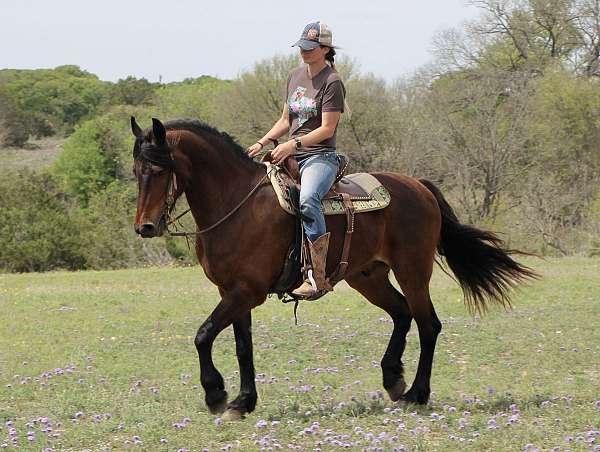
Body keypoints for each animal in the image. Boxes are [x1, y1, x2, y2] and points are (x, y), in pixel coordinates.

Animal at [130, 117, 536, 420]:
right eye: (137, 171)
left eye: (159, 169)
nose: (145, 227)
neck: (237, 204)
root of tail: (418, 186)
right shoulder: (233, 292)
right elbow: (241, 346)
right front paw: (242, 402)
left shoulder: (247, 291)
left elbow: (203, 335)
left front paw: (215, 395)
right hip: (368, 276)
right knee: (402, 314)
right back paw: (393, 379)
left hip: (413, 271)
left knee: (428, 324)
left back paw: (416, 394)